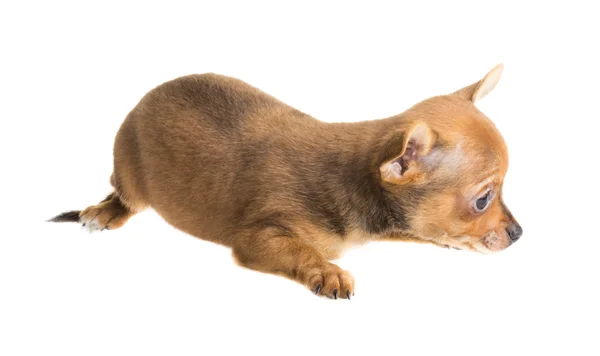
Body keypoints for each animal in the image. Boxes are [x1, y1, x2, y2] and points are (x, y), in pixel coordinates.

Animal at [50, 64, 520, 300]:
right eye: (482, 200)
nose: (519, 233)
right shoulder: (259, 237)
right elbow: (301, 250)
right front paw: (328, 272)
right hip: (129, 171)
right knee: (123, 195)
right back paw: (103, 211)